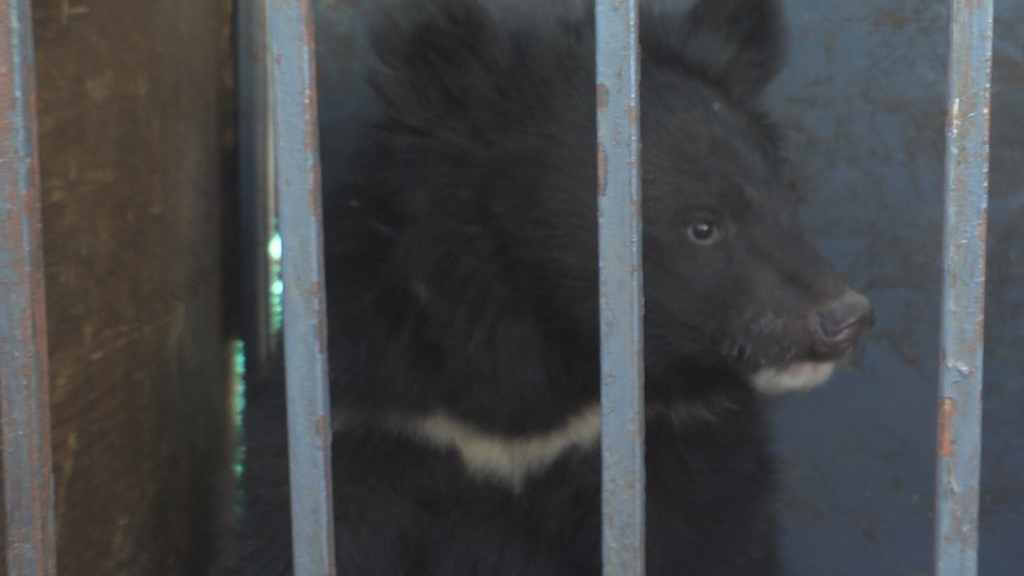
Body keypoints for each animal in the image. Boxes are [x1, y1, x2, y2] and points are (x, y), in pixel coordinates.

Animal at [224, 0, 872, 569]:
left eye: (789, 198)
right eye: (703, 226)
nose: (845, 318)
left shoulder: (685, 435)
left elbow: (710, 539)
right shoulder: (369, 418)